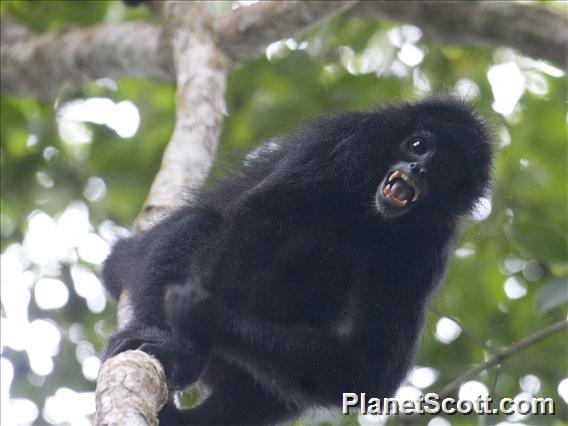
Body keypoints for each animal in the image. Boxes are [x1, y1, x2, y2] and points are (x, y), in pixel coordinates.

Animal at [102, 97, 492, 426]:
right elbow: (254, 222)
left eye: (445, 169)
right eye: (418, 145)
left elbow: (370, 364)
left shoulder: (428, 246)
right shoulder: (340, 144)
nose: (418, 169)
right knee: (199, 223)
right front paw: (183, 348)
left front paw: (207, 317)